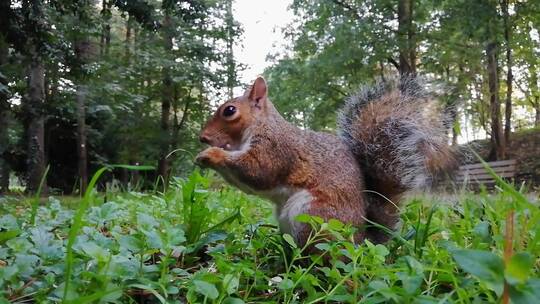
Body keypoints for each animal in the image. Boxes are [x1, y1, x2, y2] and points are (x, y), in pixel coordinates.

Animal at [194, 76, 452, 247]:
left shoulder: (275, 149)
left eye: (229, 111)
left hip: (313, 217)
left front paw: (212, 155)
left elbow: (257, 171)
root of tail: (360, 242)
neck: (261, 126)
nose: (202, 137)